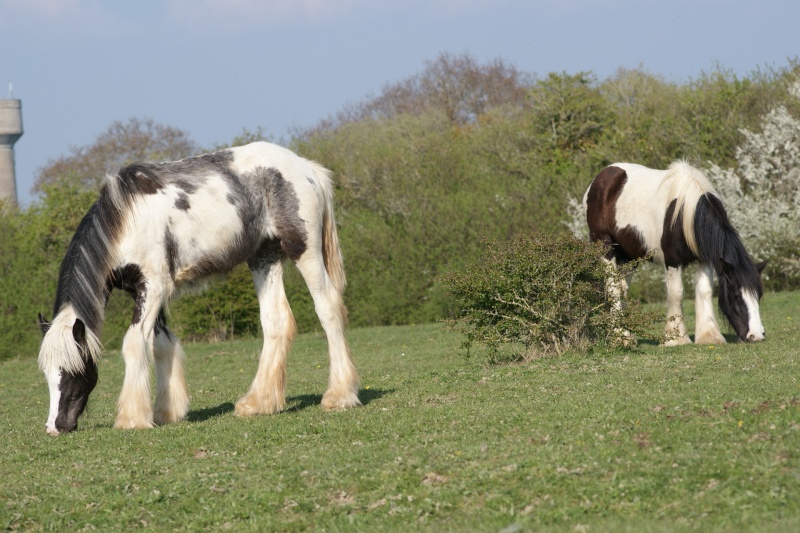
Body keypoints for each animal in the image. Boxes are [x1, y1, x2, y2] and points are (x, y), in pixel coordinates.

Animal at [37, 142, 360, 436]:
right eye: (46, 373)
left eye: (73, 370)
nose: (55, 427)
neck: (126, 220)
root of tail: (307, 168)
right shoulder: (145, 291)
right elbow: (162, 345)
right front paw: (166, 412)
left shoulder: (153, 287)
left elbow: (134, 343)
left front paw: (132, 418)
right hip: (264, 257)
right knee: (276, 322)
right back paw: (258, 403)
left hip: (304, 250)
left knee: (328, 309)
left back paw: (339, 395)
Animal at [584, 160, 764, 344]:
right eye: (737, 296)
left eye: (759, 295)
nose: (756, 336)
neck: (687, 213)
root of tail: (601, 177)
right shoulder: (672, 260)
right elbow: (676, 293)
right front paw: (676, 339)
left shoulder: (705, 259)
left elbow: (705, 290)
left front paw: (709, 336)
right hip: (605, 245)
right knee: (613, 287)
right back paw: (620, 336)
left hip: (629, 256)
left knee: (622, 288)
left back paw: (627, 334)